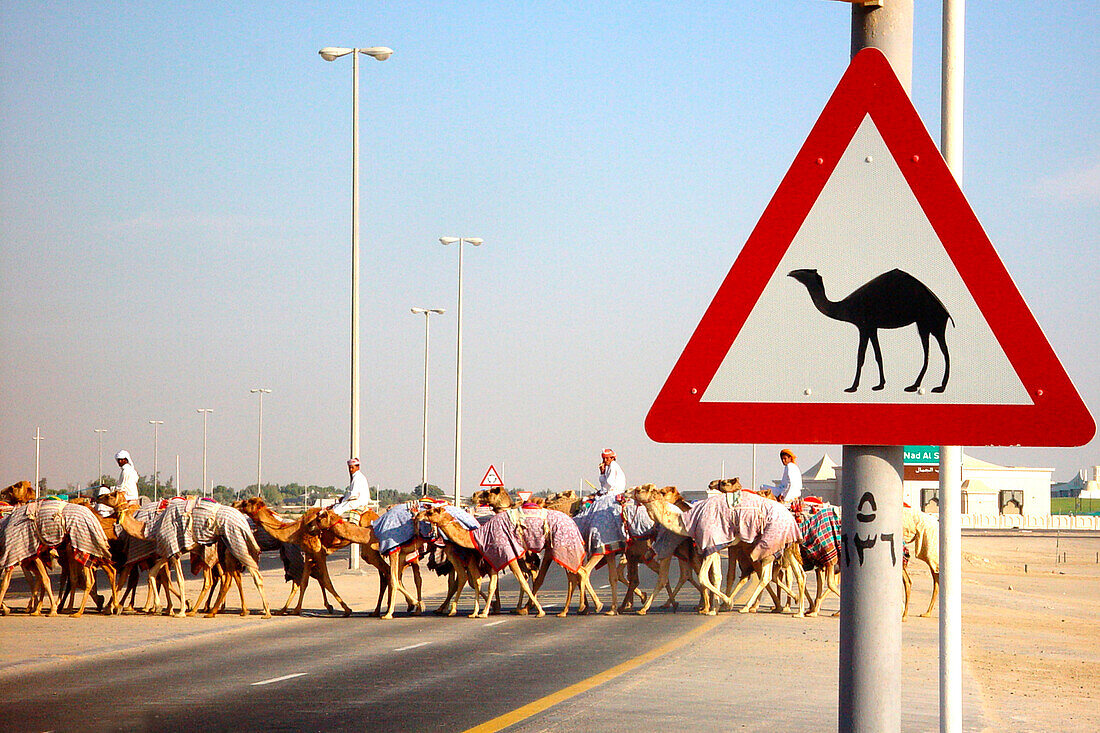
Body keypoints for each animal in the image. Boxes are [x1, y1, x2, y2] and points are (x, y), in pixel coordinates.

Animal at [792, 267, 954, 394]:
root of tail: (946, 312)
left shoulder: (863, 326)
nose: (790, 272)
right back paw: (914, 386)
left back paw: (940, 387)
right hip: (923, 324)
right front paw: (880, 385)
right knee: (929, 351)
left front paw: (852, 387)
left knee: (944, 352)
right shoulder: (872, 327)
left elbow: (860, 357)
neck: (843, 307)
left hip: (934, 323)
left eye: (805, 271)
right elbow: (878, 355)